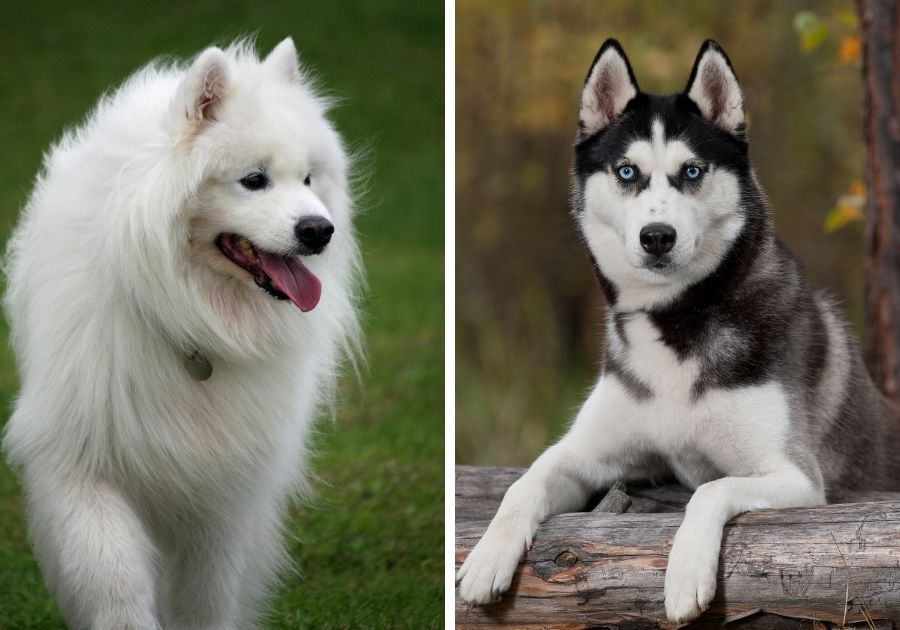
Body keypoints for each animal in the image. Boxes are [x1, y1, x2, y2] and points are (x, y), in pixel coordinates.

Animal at [4, 39, 362, 630]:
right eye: (254, 180)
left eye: (309, 179)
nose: (320, 230)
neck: (191, 319)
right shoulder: (82, 462)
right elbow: (114, 580)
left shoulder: (220, 494)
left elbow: (206, 597)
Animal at [460, 40, 896, 628]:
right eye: (627, 171)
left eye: (692, 171)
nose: (657, 237)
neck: (673, 321)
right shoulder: (589, 452)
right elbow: (526, 479)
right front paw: (486, 557)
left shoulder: (797, 477)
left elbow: (710, 488)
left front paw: (685, 576)